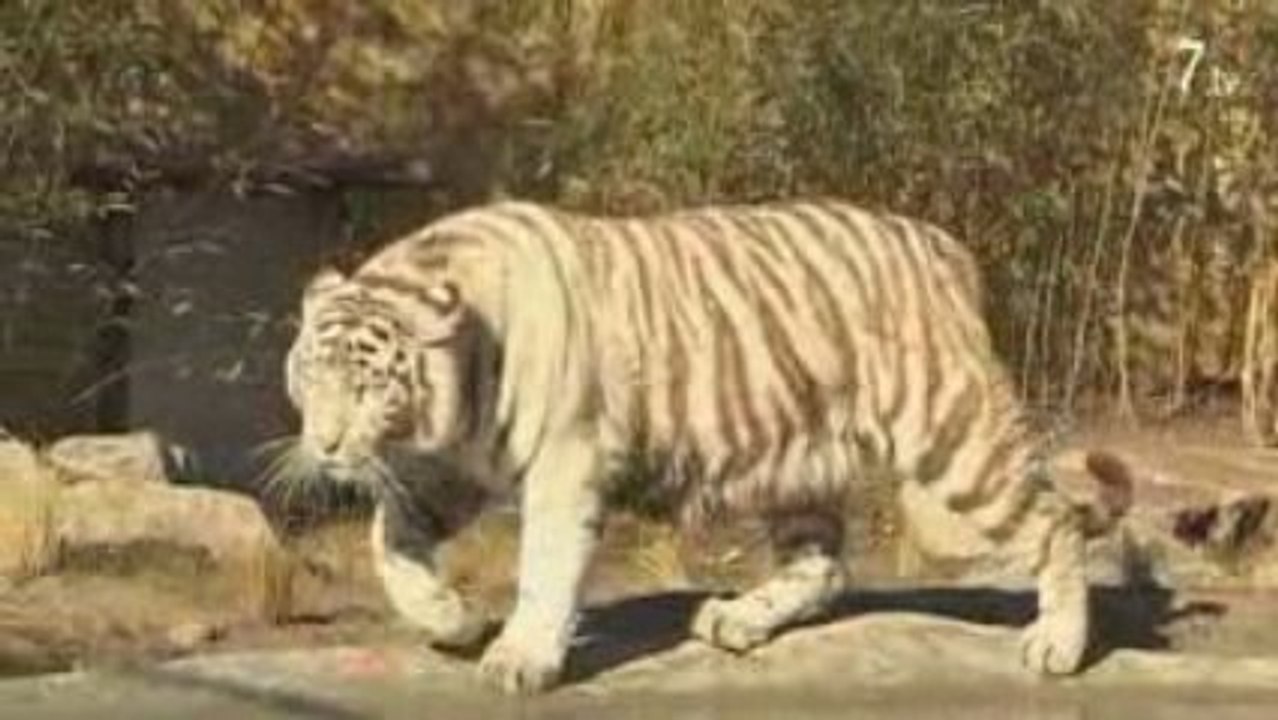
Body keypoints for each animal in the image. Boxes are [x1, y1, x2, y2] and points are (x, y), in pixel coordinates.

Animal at [282, 198, 1133, 694]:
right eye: (310, 375)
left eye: (368, 385)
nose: (326, 445)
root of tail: (942, 246)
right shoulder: (450, 470)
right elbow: (390, 539)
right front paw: (448, 619)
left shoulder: (564, 462)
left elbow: (546, 566)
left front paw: (520, 657)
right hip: (801, 463)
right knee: (824, 566)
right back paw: (735, 622)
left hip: (951, 439)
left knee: (1055, 521)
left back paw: (1058, 646)